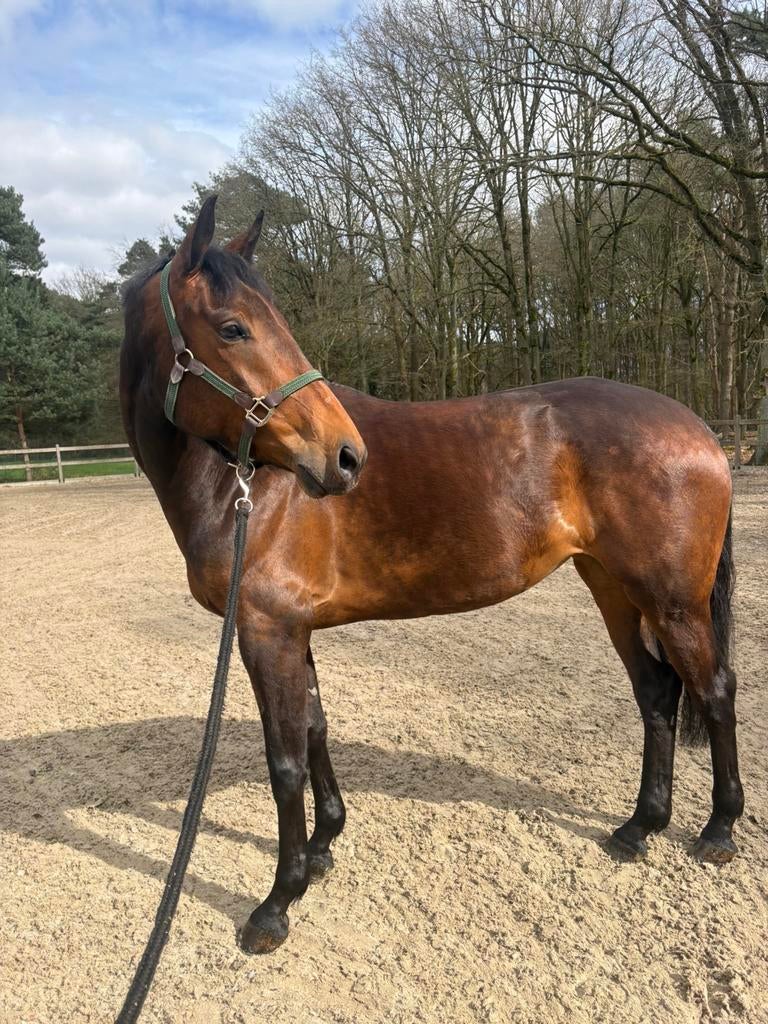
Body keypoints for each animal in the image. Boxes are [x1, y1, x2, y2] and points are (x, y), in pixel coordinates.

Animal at [120, 196, 744, 955]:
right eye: (233, 327)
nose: (345, 456)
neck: (245, 486)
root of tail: (701, 431)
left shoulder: (265, 631)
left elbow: (284, 759)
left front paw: (277, 902)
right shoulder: (291, 630)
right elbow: (315, 729)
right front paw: (325, 846)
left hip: (673, 602)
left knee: (714, 690)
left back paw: (718, 831)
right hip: (614, 590)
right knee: (656, 693)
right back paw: (638, 829)